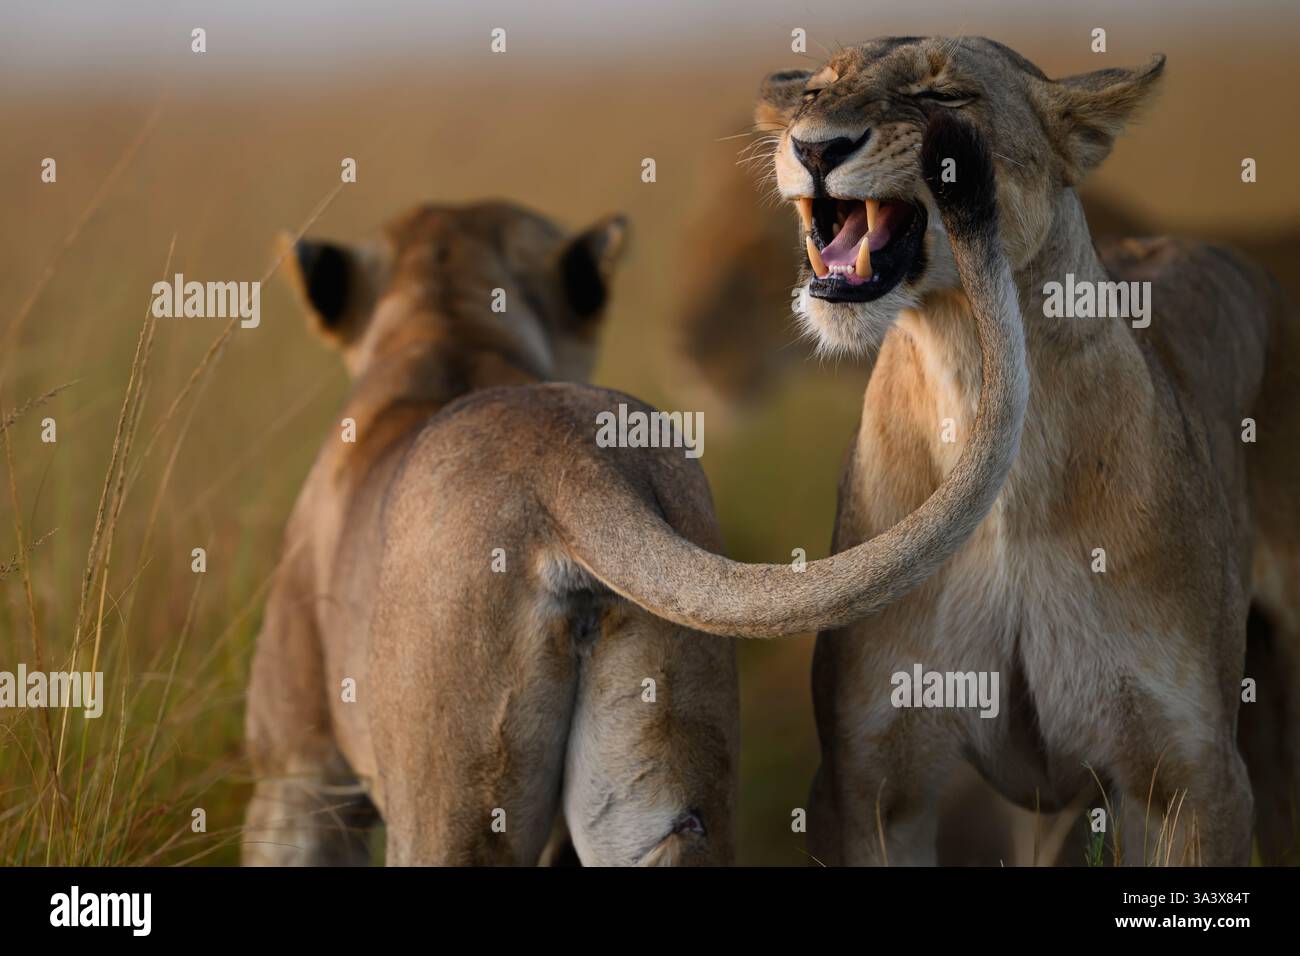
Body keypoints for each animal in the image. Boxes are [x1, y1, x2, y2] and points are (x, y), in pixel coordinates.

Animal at [755, 36, 1300, 865]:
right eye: (816, 90)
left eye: (945, 95)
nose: (815, 147)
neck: (975, 375)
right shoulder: (868, 780)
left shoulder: (1191, 779)